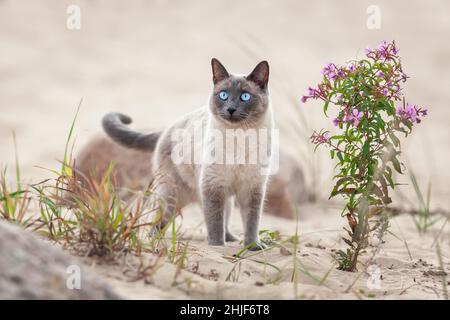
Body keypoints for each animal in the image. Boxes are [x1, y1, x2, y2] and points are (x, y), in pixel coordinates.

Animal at [102, 60, 274, 250]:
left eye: (245, 96)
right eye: (223, 95)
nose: (230, 109)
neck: (239, 137)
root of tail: (168, 128)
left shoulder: (252, 189)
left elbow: (251, 222)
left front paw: (252, 246)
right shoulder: (213, 186)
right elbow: (215, 223)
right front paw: (217, 246)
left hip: (222, 199)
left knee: (225, 221)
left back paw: (231, 239)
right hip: (172, 195)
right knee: (156, 220)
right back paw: (153, 240)